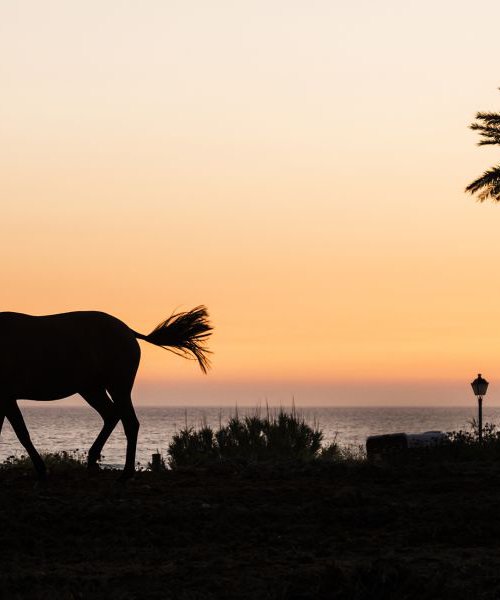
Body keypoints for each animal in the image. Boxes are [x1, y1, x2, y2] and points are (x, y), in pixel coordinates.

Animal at [0, 308, 211, 480]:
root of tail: (129, 331)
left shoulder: (7, 397)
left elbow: (22, 433)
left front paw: (42, 470)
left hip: (117, 386)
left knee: (129, 422)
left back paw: (126, 473)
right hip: (92, 389)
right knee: (112, 415)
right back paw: (93, 461)